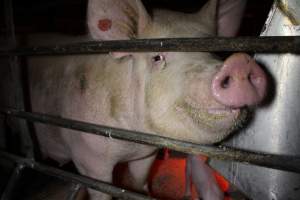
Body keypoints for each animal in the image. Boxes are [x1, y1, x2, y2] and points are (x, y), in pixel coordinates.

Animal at [28, 0, 268, 200]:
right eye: (157, 57)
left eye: (215, 54)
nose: (239, 63)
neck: (130, 143)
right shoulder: (88, 158)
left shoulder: (146, 155)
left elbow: (139, 183)